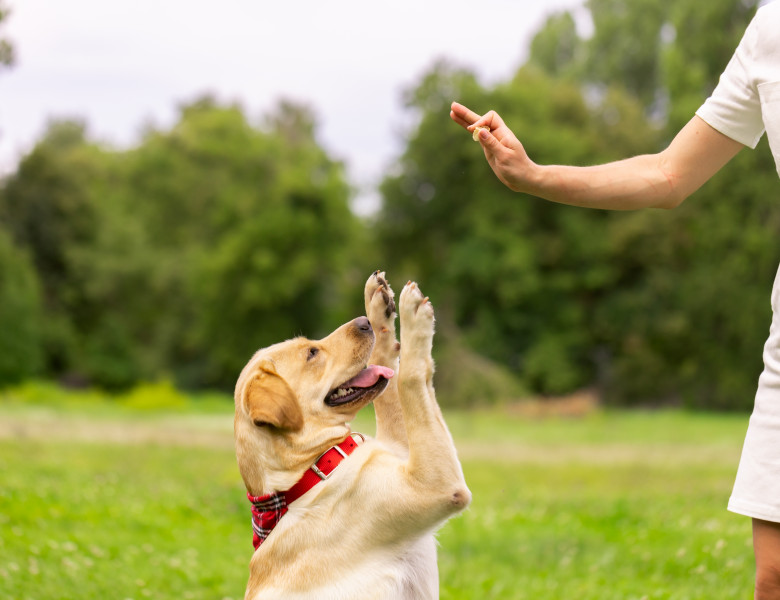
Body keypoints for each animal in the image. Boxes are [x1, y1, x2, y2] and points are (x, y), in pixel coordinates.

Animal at [233, 274, 470, 600]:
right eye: (312, 353)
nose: (363, 322)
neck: (310, 472)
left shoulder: (401, 450)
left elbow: (391, 389)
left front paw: (379, 308)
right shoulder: (434, 486)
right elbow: (410, 377)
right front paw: (413, 315)